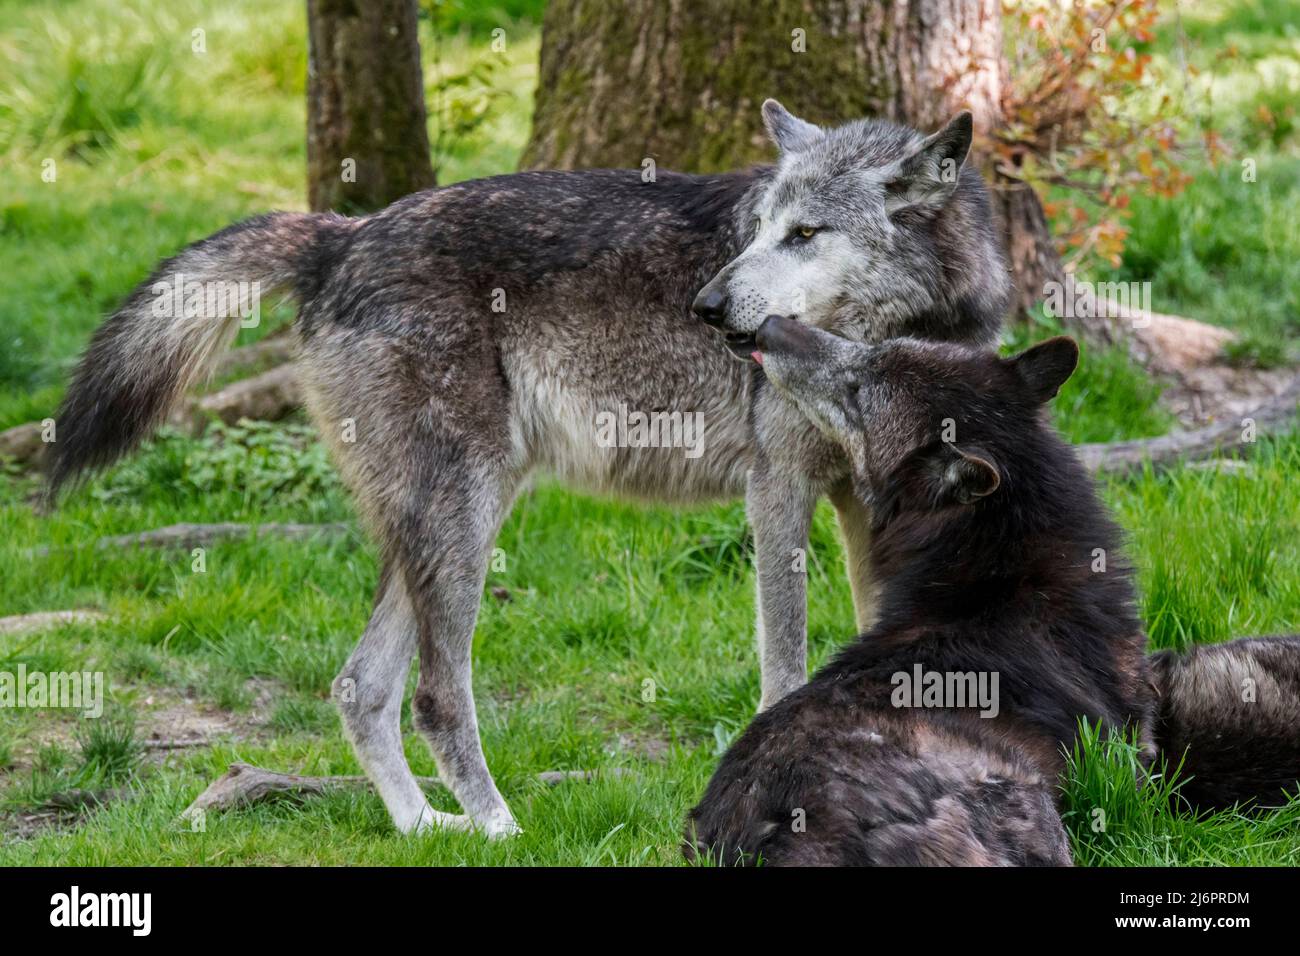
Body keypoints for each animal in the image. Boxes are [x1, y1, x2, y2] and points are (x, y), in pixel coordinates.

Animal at [46, 101, 1009, 837]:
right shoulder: (777, 489)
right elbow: (785, 666)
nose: (705, 305)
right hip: (464, 516)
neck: (898, 328)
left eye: (807, 234)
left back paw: (428, 830)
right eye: (764, 229)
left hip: (449, 519)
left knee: (360, 686)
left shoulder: (867, 502)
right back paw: (502, 831)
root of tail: (341, 236)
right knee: (436, 695)